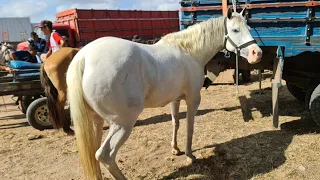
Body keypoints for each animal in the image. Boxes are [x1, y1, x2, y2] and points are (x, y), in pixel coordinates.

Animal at [65, 8, 262, 180]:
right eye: (235, 30)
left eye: (248, 28)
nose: (257, 54)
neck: (189, 51)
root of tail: (84, 57)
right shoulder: (193, 99)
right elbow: (189, 127)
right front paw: (190, 155)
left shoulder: (174, 100)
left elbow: (176, 123)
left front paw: (175, 149)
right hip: (122, 124)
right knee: (105, 155)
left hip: (97, 122)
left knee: (94, 150)